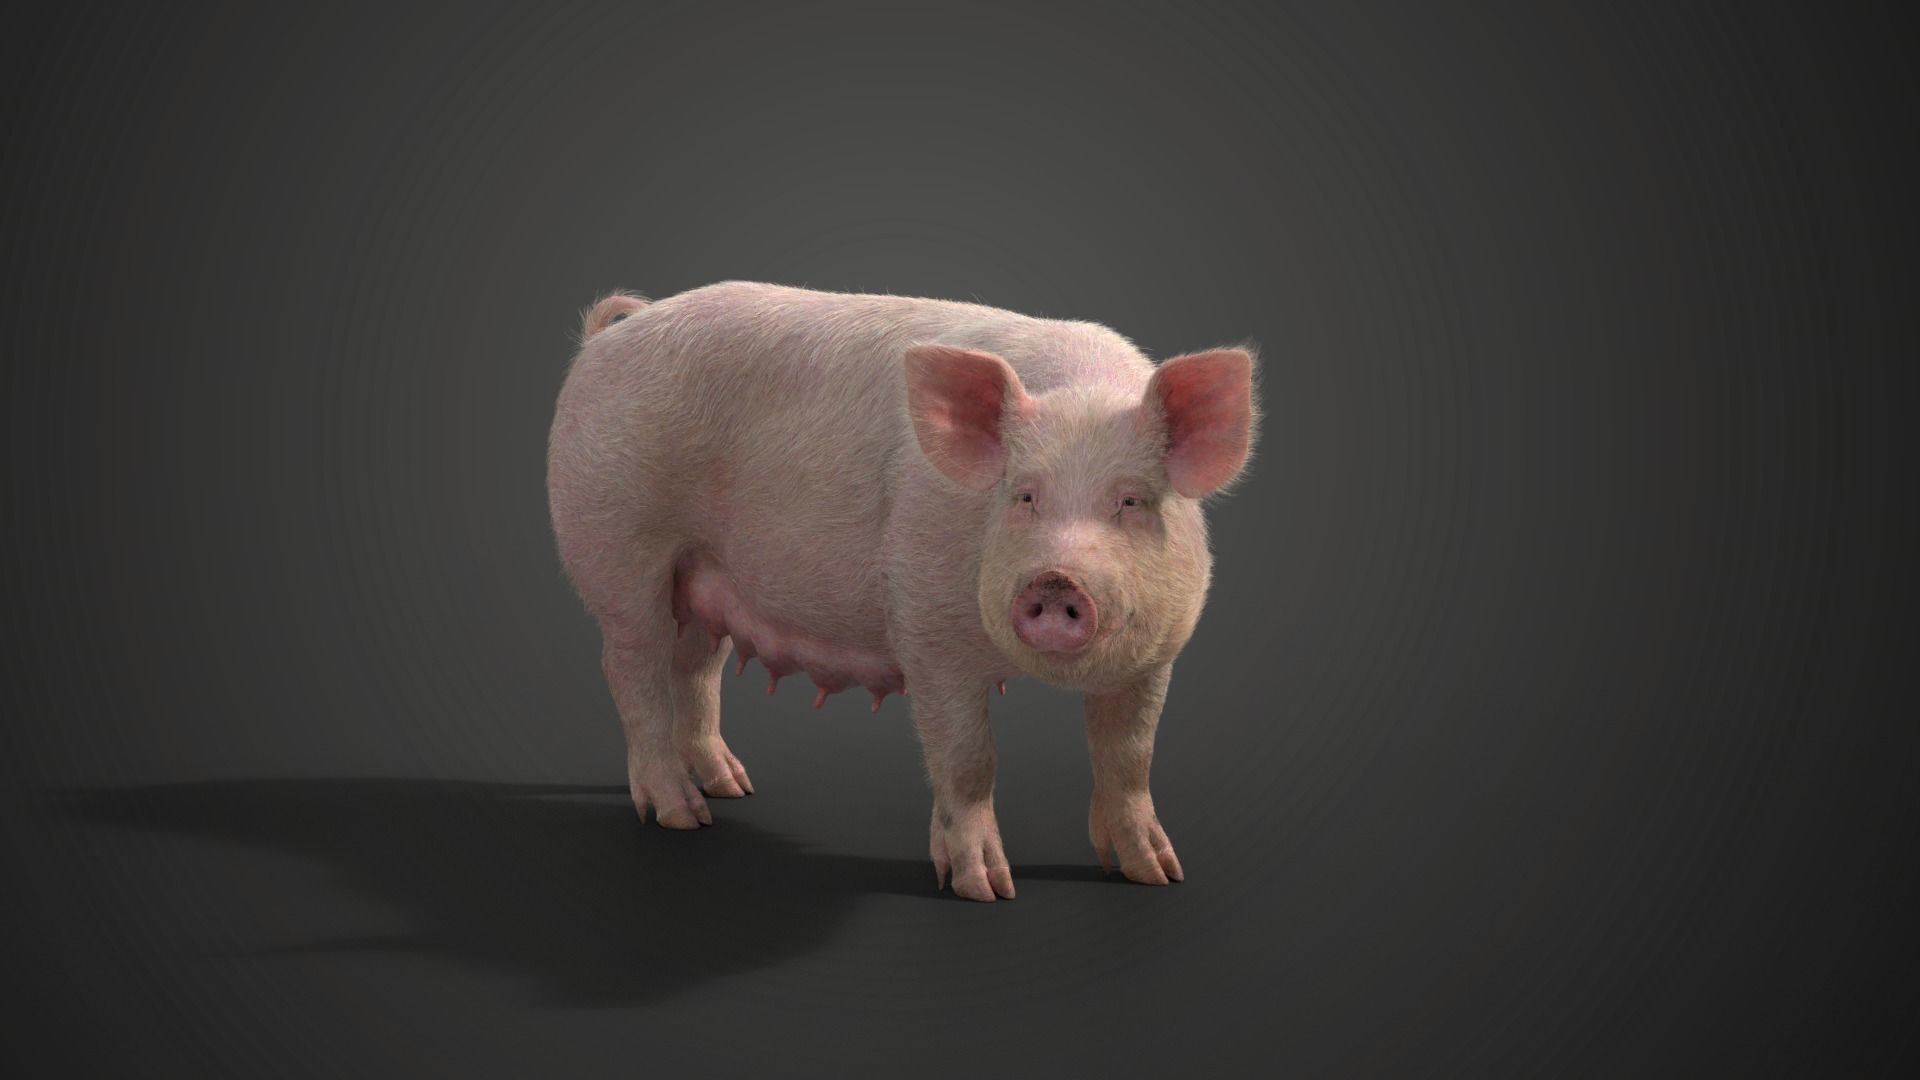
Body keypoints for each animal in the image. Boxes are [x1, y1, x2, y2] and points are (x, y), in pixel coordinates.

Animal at [546, 282, 1257, 902]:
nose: (1056, 580)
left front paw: (1158, 875)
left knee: (695, 669)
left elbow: (1130, 757)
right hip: (617, 547)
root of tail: (609, 336)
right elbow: (967, 757)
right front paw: (985, 890)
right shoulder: (928, 628)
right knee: (632, 669)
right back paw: (682, 816)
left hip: (704, 579)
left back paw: (734, 788)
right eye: (1023, 496)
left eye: (1132, 501)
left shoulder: (1157, 655)